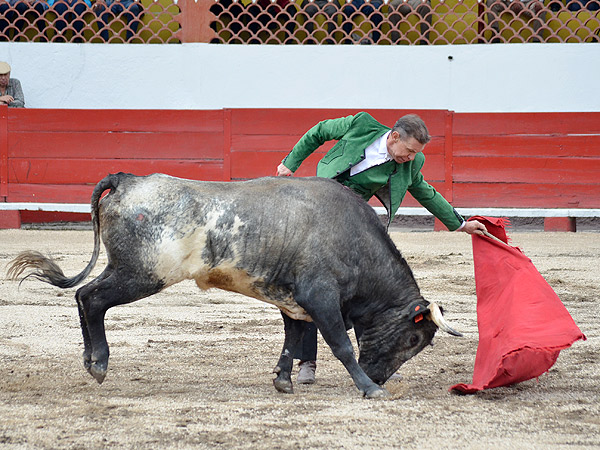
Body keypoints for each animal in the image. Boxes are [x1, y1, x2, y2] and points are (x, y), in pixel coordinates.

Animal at [8, 172, 460, 398]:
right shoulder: (320, 297)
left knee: (84, 296)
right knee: (92, 299)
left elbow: (292, 340)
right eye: (413, 339)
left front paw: (283, 380)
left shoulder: (293, 301)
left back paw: (91, 361)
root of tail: (127, 180)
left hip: (125, 269)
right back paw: (99, 364)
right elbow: (341, 345)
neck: (354, 241)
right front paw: (367, 389)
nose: (379, 378)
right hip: (142, 274)